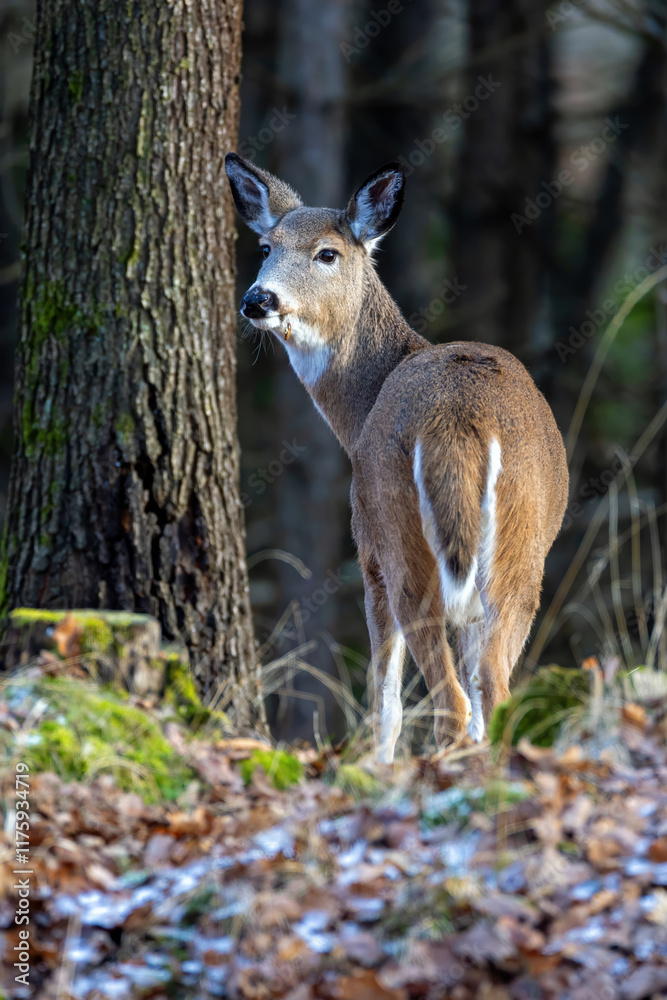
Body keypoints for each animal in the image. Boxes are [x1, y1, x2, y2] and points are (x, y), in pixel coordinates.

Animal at [225, 153, 569, 764]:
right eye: (266, 247)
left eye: (327, 253)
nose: (258, 300)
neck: (358, 412)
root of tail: (458, 418)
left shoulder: (367, 550)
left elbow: (384, 696)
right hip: (522, 549)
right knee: (491, 689)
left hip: (400, 534)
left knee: (449, 700)